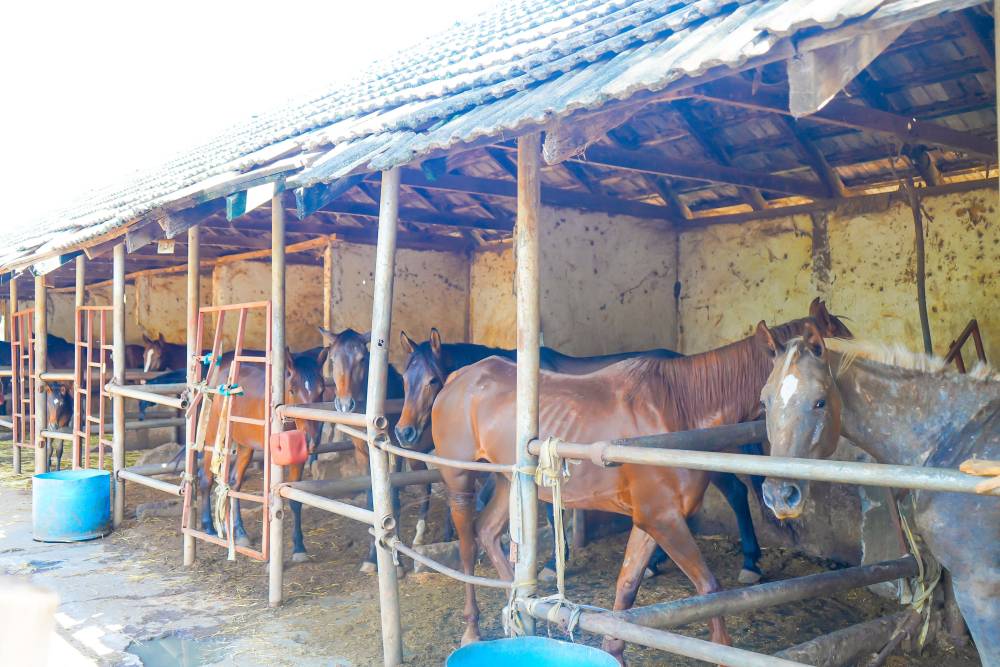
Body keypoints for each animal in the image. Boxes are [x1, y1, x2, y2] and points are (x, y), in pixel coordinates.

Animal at [200, 348, 327, 560]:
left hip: (245, 446)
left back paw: (240, 532)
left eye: (321, 390)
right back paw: (208, 526)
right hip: (214, 436)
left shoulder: (298, 461)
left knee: (234, 483)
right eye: (292, 390)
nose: (311, 441)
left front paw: (299, 547)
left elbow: (295, 500)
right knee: (206, 478)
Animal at [318, 326, 435, 574]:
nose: (345, 405)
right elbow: (372, 501)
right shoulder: (363, 453)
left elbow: (393, 500)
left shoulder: (394, 451)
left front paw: (396, 563)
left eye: (362, 359)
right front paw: (372, 558)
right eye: (332, 359)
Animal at [430, 307, 851, 660]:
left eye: (819, 399)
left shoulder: (653, 520)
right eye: (768, 400)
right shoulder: (661, 518)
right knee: (468, 546)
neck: (679, 407)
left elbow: (627, 587)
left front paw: (614, 650)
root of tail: (457, 377)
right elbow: (709, 588)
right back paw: (472, 629)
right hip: (460, 478)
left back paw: (518, 607)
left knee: (488, 534)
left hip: (508, 482)